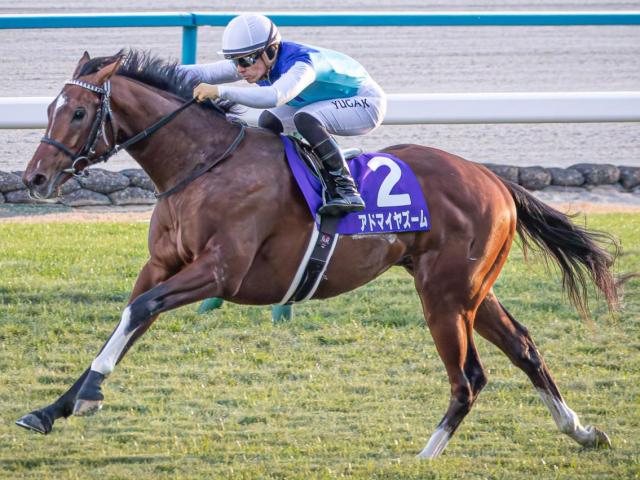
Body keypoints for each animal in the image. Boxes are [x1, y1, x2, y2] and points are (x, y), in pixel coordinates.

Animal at [18, 50, 618, 458]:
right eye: (48, 108)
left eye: (77, 113)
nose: (34, 178)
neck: (203, 164)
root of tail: (493, 179)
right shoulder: (162, 266)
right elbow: (126, 319)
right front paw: (54, 408)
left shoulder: (219, 273)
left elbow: (138, 313)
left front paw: (90, 393)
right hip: (471, 290)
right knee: (523, 348)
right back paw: (581, 430)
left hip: (445, 296)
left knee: (469, 376)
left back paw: (424, 457)